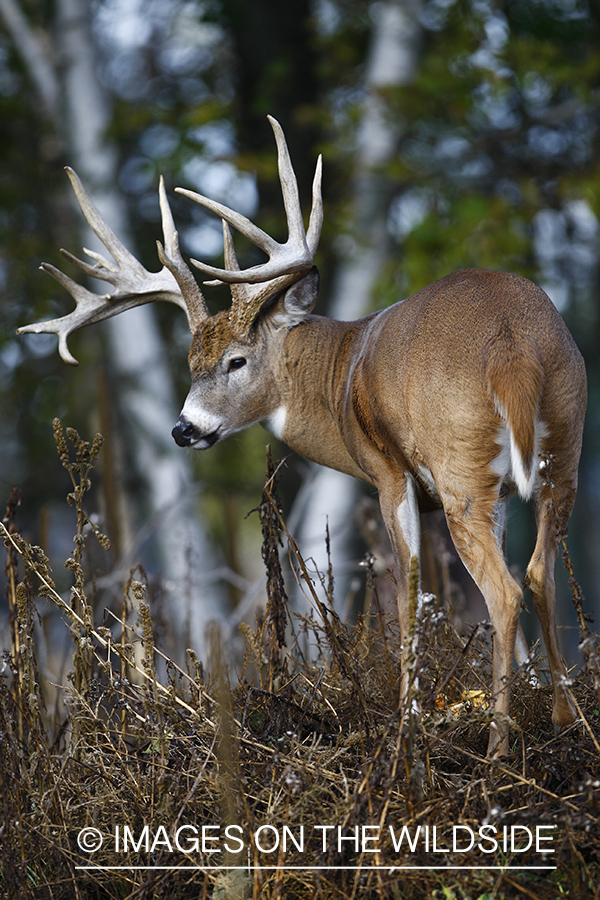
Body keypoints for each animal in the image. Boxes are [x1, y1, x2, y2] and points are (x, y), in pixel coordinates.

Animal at [19, 116, 584, 756]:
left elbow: (409, 591)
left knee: (504, 590)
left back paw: (496, 748)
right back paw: (564, 719)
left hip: (461, 468)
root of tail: (514, 348)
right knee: (538, 573)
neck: (341, 370)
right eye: (190, 363)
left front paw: (408, 720)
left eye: (236, 361)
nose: (184, 429)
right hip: (563, 446)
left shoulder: (389, 472)